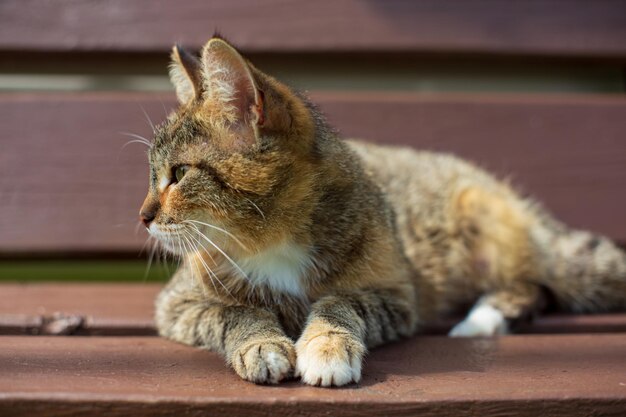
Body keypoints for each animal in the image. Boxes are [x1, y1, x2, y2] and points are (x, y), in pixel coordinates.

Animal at [141, 36, 624, 386]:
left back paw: (483, 318)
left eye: (178, 173)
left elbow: (343, 301)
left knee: (541, 280)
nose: (143, 217)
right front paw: (261, 344)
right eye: (153, 173)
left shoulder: (396, 295)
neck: (274, 240)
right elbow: (234, 312)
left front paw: (327, 346)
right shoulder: (178, 304)